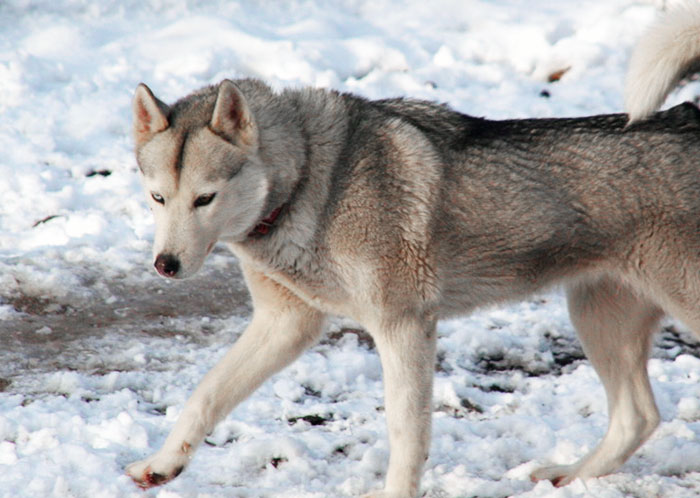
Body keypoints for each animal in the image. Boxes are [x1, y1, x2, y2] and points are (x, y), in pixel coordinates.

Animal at [129, 4, 700, 498]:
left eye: (205, 198)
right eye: (158, 197)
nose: (165, 265)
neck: (311, 181)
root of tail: (688, 117)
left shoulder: (402, 326)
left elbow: (407, 433)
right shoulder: (285, 324)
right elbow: (206, 395)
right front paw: (162, 465)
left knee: (638, 415)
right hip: (598, 317)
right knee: (638, 418)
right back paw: (570, 474)